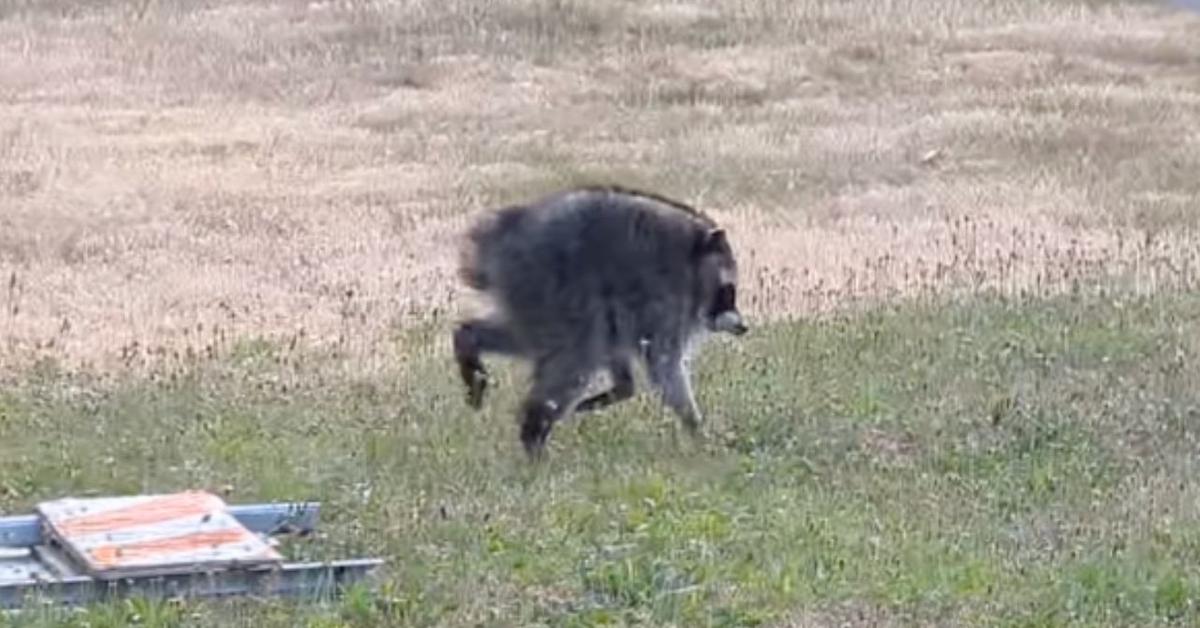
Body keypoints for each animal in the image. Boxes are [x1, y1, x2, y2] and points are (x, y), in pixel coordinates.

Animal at [453, 184, 747, 458]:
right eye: (728, 292)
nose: (743, 326)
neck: (693, 259)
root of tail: (503, 234)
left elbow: (621, 351)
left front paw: (621, 388)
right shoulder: (666, 299)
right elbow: (663, 365)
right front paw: (695, 426)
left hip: (531, 291)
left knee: (539, 339)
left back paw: (468, 339)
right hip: (549, 281)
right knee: (578, 350)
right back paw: (534, 427)